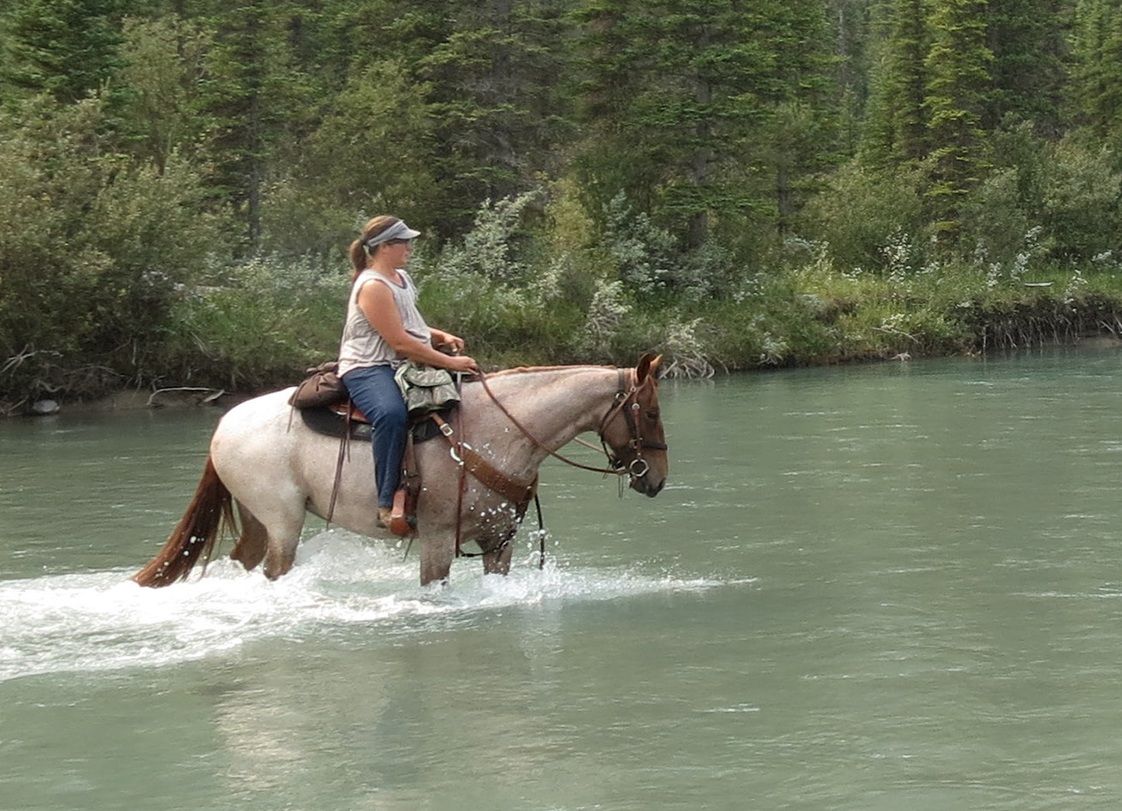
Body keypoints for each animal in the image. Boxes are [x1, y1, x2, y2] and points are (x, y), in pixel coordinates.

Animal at [133, 354, 669, 588]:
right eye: (651, 411)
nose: (658, 477)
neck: (496, 430)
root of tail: (224, 425)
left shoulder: (499, 540)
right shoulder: (436, 539)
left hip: (258, 519)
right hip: (284, 522)